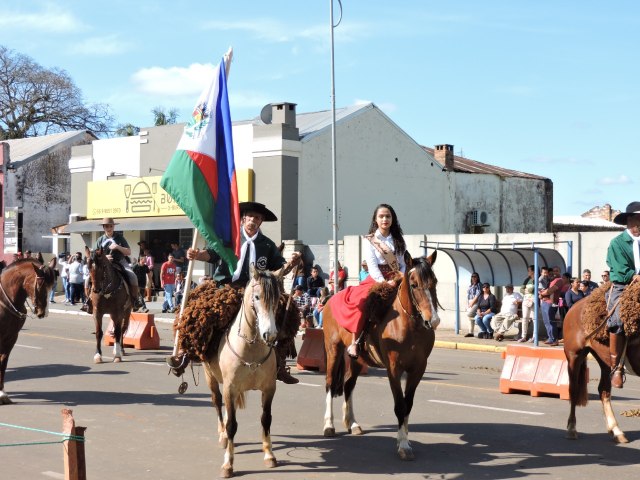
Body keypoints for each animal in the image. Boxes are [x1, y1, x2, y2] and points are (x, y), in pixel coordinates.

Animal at [0, 256, 56, 404]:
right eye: (40, 285)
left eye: (52, 286)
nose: (43, 313)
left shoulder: (11, 337)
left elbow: (3, 363)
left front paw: (2, 393)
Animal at [200, 268, 280, 478]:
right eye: (257, 297)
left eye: (278, 298)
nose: (271, 335)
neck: (251, 347)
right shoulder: (230, 388)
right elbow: (232, 426)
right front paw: (228, 464)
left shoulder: (269, 389)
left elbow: (266, 419)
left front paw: (269, 454)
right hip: (211, 378)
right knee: (218, 403)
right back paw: (222, 436)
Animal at [322, 253, 438, 460]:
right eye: (414, 284)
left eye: (435, 282)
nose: (433, 320)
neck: (409, 325)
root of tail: (331, 297)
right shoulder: (394, 368)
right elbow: (399, 405)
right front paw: (403, 445)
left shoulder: (418, 369)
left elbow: (408, 404)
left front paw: (405, 439)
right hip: (333, 349)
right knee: (329, 384)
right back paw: (329, 425)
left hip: (357, 359)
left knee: (348, 385)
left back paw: (353, 424)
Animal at [564, 286, 640, 444]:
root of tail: (574, 307)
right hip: (574, 356)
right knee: (573, 389)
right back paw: (572, 429)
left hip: (605, 362)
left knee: (604, 391)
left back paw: (616, 431)